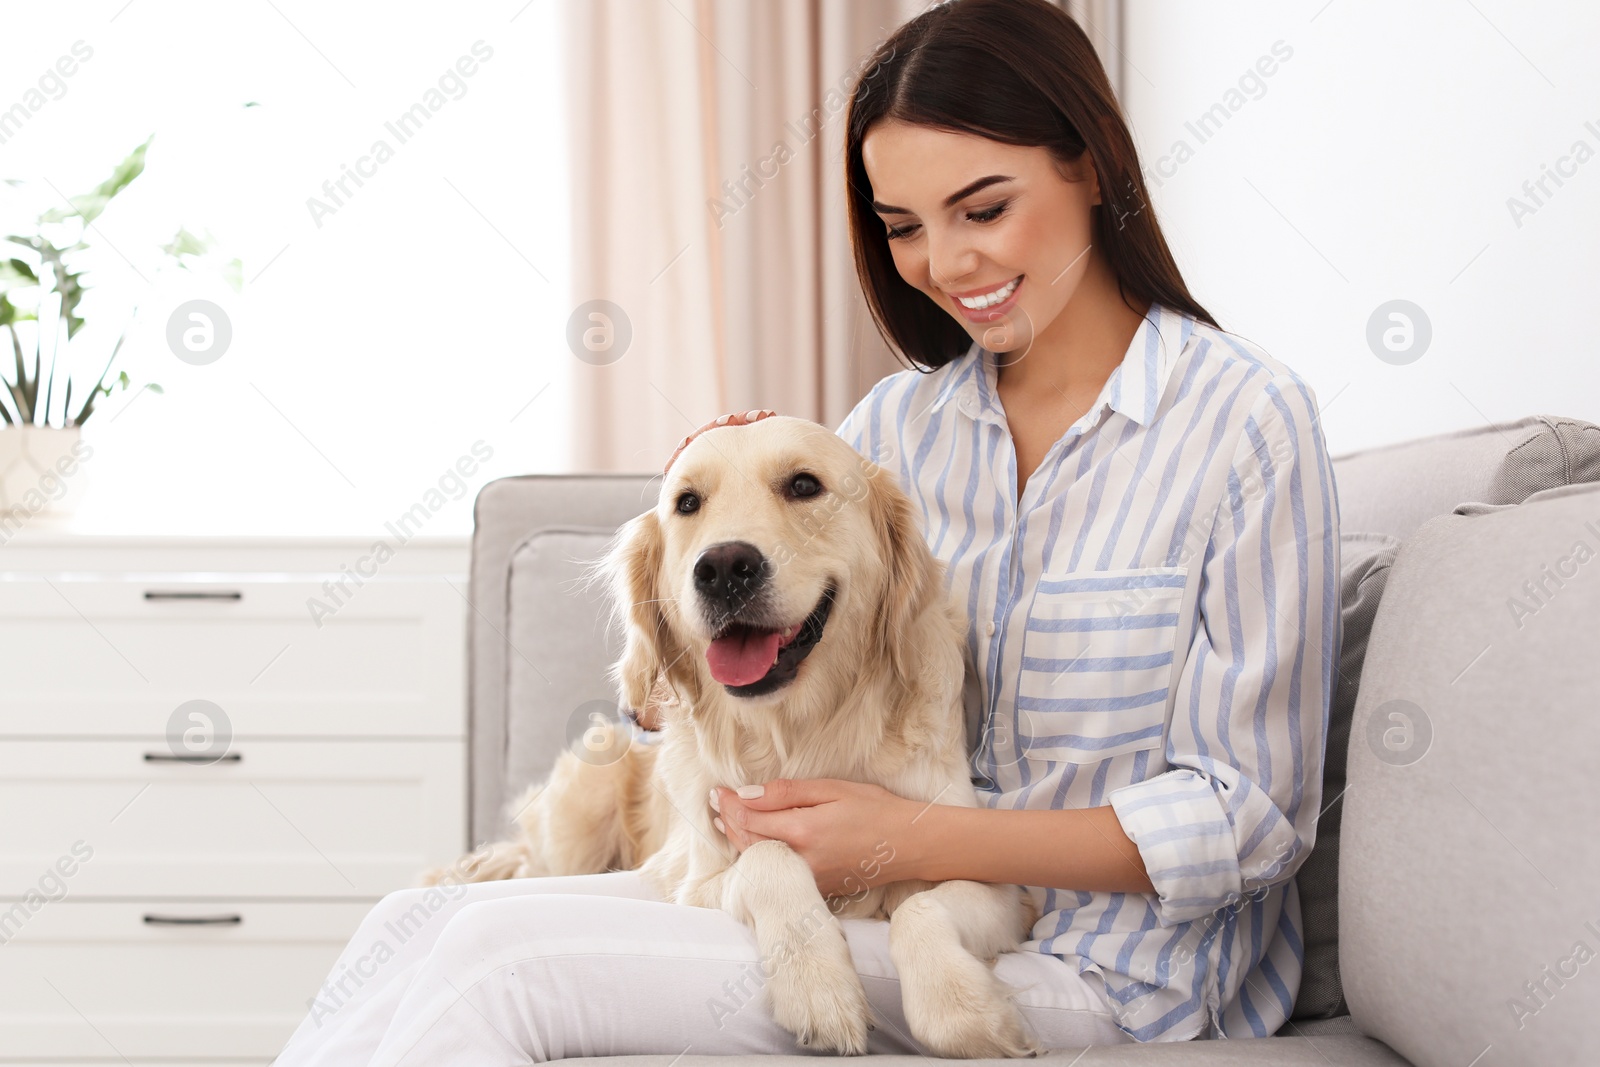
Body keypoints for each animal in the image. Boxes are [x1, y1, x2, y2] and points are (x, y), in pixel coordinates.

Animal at [432, 412, 1030, 1055]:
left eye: (804, 485)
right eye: (688, 502)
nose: (722, 569)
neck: (795, 732)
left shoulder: (1005, 891)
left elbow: (921, 907)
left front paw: (960, 1008)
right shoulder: (697, 878)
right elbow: (770, 857)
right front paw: (818, 987)